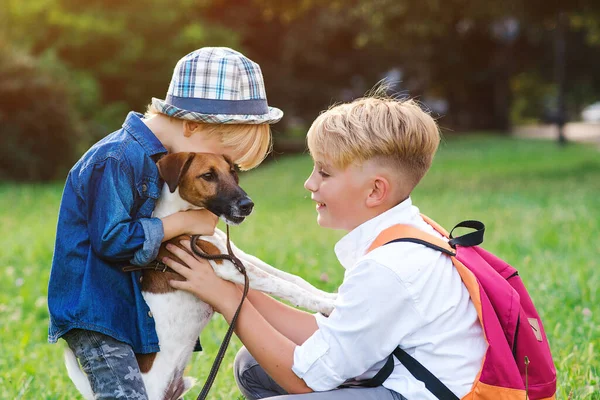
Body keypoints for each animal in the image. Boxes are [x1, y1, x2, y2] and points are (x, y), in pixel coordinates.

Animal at [65, 152, 338, 400]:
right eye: (208, 175)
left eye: (233, 173)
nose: (248, 205)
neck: (185, 221)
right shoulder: (228, 265)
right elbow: (284, 286)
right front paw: (327, 305)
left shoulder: (238, 256)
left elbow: (292, 279)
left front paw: (331, 298)